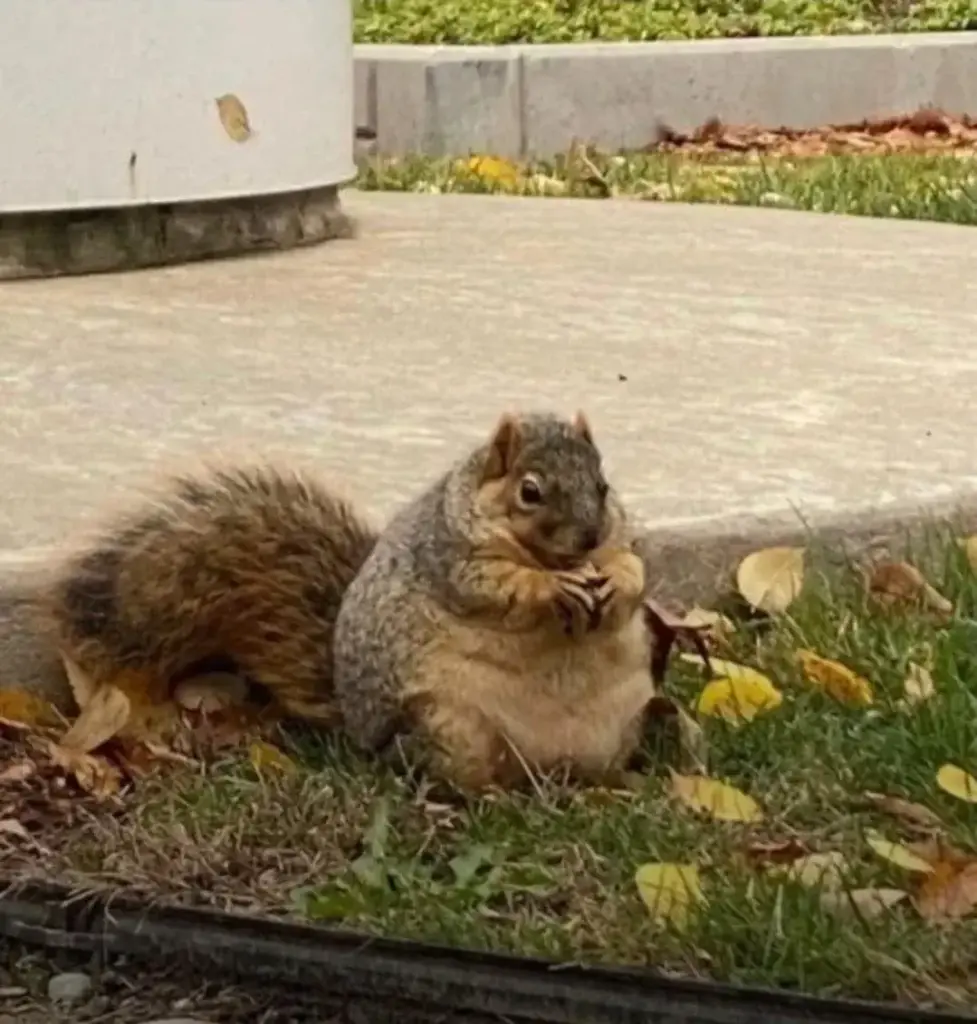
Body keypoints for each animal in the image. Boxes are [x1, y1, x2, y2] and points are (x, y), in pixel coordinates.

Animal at [45, 411, 655, 792]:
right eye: (530, 491)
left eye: (603, 485)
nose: (588, 536)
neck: (552, 556)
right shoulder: (451, 558)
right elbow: (496, 586)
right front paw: (550, 588)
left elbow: (634, 571)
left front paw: (616, 579)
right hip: (449, 729)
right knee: (450, 779)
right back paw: (487, 796)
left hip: (622, 727)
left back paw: (622, 786)